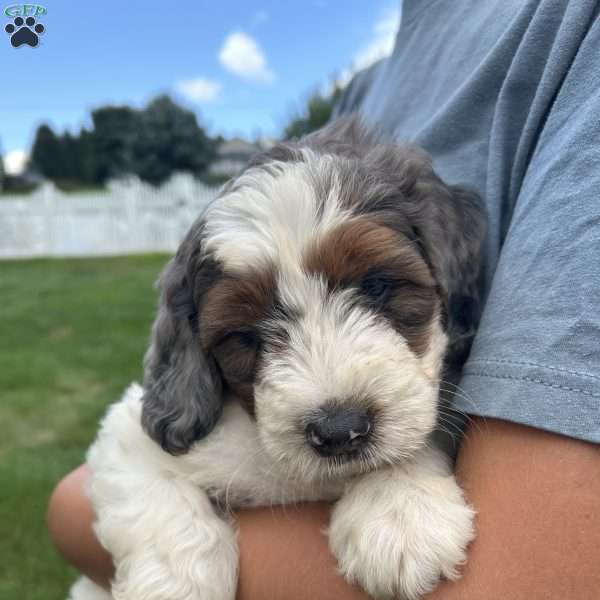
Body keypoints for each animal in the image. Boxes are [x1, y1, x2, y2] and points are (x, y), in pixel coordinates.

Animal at [69, 117, 488, 600]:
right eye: (244, 334)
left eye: (377, 285)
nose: (340, 430)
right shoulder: (128, 434)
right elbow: (155, 492)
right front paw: (175, 584)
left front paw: (401, 511)